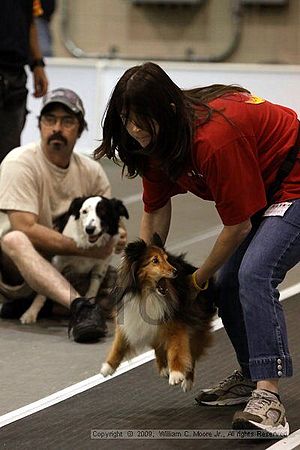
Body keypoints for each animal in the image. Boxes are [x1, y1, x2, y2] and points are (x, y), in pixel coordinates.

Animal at [101, 234, 216, 392]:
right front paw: (108, 366)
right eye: (155, 260)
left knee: (191, 354)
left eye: (167, 259)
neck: (146, 294)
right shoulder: (128, 318)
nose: (175, 271)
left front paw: (176, 374)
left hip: (196, 323)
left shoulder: (175, 323)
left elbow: (176, 349)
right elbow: (118, 344)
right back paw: (163, 367)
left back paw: (187, 380)